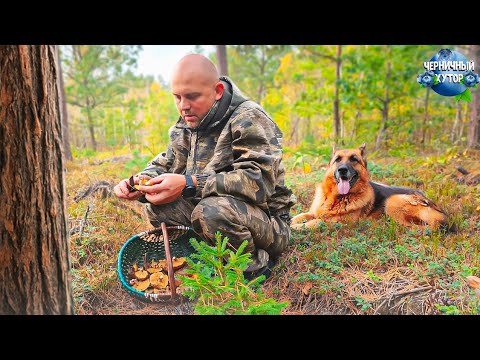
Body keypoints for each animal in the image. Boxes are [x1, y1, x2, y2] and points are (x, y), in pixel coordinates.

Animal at [290, 143, 452, 231]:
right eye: (337, 160)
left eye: (354, 159)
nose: (342, 170)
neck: (335, 197)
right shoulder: (314, 212)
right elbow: (300, 216)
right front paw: (291, 222)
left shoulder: (339, 223)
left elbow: (315, 222)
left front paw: (295, 228)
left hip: (393, 202)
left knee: (422, 228)